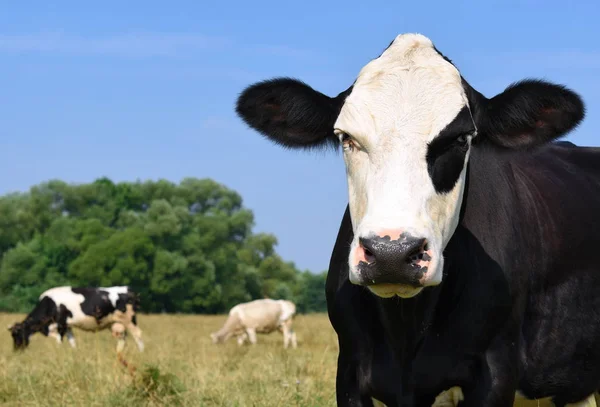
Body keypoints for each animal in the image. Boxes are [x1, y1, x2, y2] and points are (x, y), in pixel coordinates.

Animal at [7, 286, 144, 354]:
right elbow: (72, 342)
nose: (15, 351)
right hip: (116, 324)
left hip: (130, 320)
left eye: (17, 334)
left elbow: (59, 342)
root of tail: (128, 289)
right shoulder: (68, 326)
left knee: (138, 335)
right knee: (122, 339)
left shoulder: (61, 324)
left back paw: (141, 353)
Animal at [236, 32, 600, 407]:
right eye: (346, 138)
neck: (405, 334)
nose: (391, 253)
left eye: (460, 139)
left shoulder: (496, 372)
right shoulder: (349, 370)